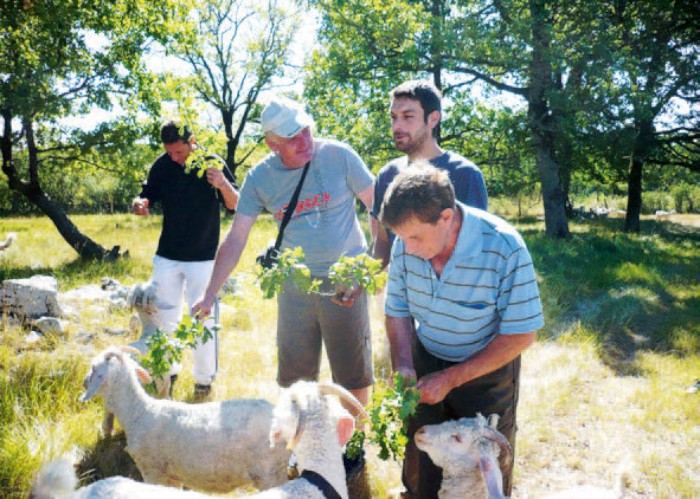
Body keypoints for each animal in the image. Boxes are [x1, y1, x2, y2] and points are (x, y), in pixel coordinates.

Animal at [80, 348, 292, 496]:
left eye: (94, 368)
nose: (84, 381)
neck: (138, 412)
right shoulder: (172, 475)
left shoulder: (152, 469)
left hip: (268, 472)